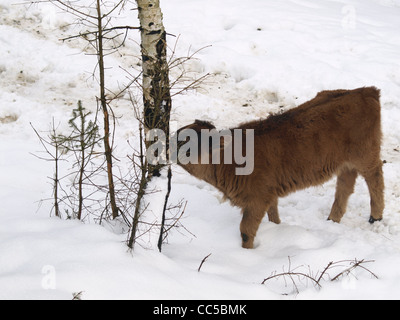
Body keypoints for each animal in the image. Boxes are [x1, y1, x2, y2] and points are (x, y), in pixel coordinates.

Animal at [178, 86, 384, 249]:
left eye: (190, 143)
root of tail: (365, 91)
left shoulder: (257, 199)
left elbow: (246, 231)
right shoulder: (270, 193)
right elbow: (273, 215)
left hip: (366, 155)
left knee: (375, 178)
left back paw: (375, 216)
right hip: (346, 163)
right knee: (345, 185)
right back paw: (333, 219)